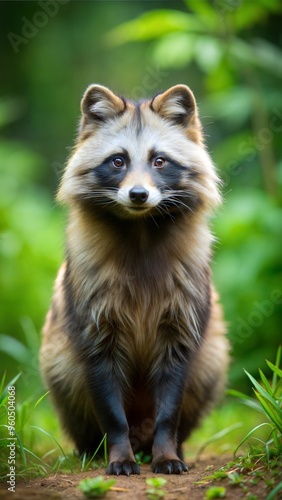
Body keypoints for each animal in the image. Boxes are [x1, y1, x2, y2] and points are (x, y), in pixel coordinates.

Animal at [40, 84, 229, 474]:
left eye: (159, 161)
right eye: (118, 161)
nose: (138, 194)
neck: (141, 229)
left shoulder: (182, 321)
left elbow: (170, 404)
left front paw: (167, 451)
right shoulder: (93, 323)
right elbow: (110, 408)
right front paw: (119, 452)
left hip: (212, 357)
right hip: (58, 359)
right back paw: (92, 448)